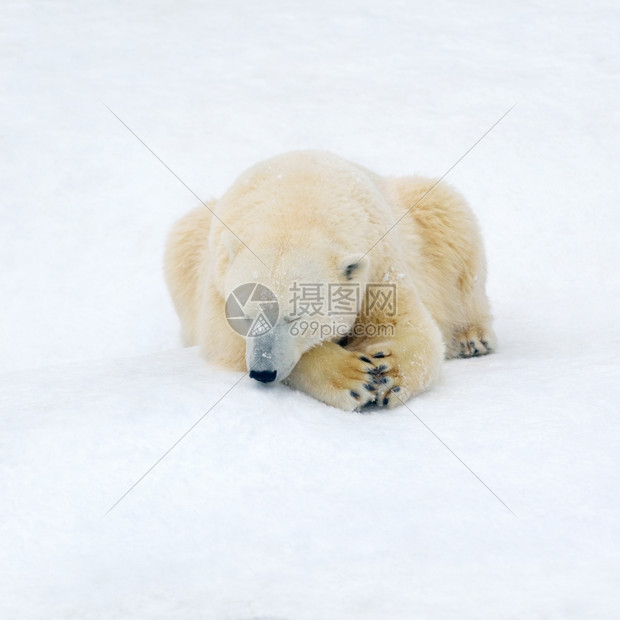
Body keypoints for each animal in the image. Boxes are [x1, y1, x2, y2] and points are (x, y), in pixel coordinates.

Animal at [163, 150, 494, 412]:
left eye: (296, 316)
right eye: (245, 316)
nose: (262, 372)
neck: (295, 209)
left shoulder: (380, 265)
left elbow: (412, 328)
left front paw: (387, 372)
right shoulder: (217, 279)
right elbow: (223, 341)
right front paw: (354, 378)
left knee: (452, 220)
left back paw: (471, 338)